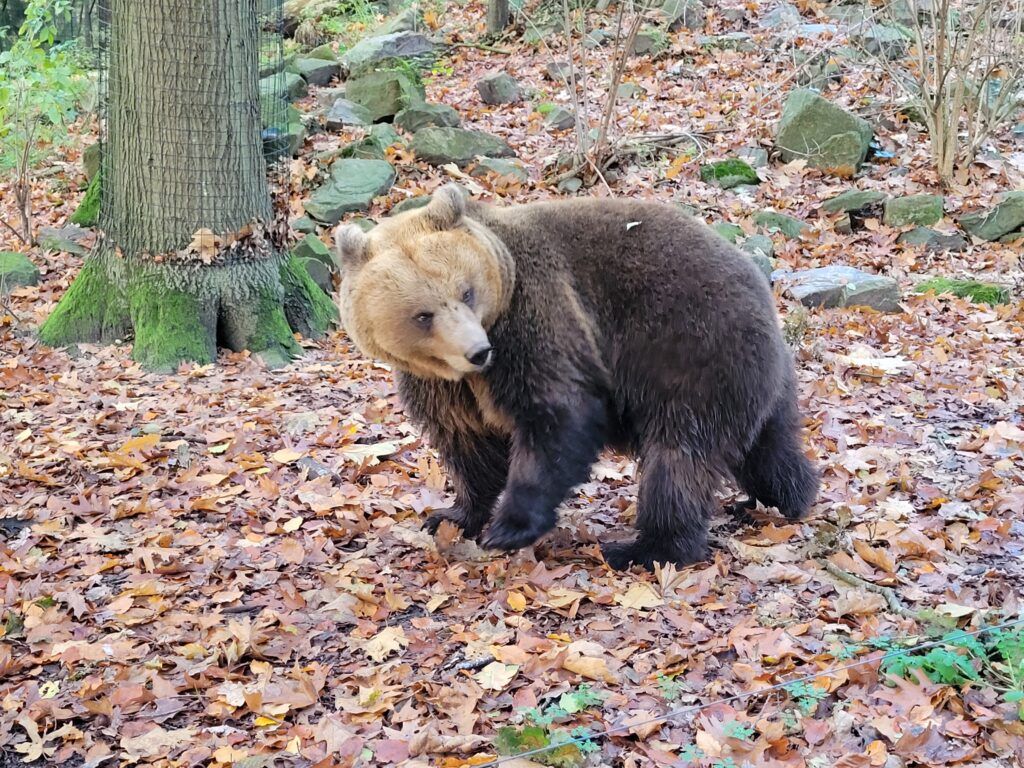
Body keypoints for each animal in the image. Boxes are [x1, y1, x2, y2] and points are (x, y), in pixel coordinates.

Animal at [333, 184, 819, 570]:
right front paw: (451, 516)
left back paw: (645, 548)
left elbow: (556, 415)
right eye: (423, 315)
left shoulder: (537, 318)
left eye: (466, 292)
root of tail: (760, 287)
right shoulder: (442, 386)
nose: (477, 351)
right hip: (749, 375)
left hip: (691, 351)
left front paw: (509, 527)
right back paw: (782, 497)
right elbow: (468, 444)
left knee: (679, 458)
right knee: (767, 447)